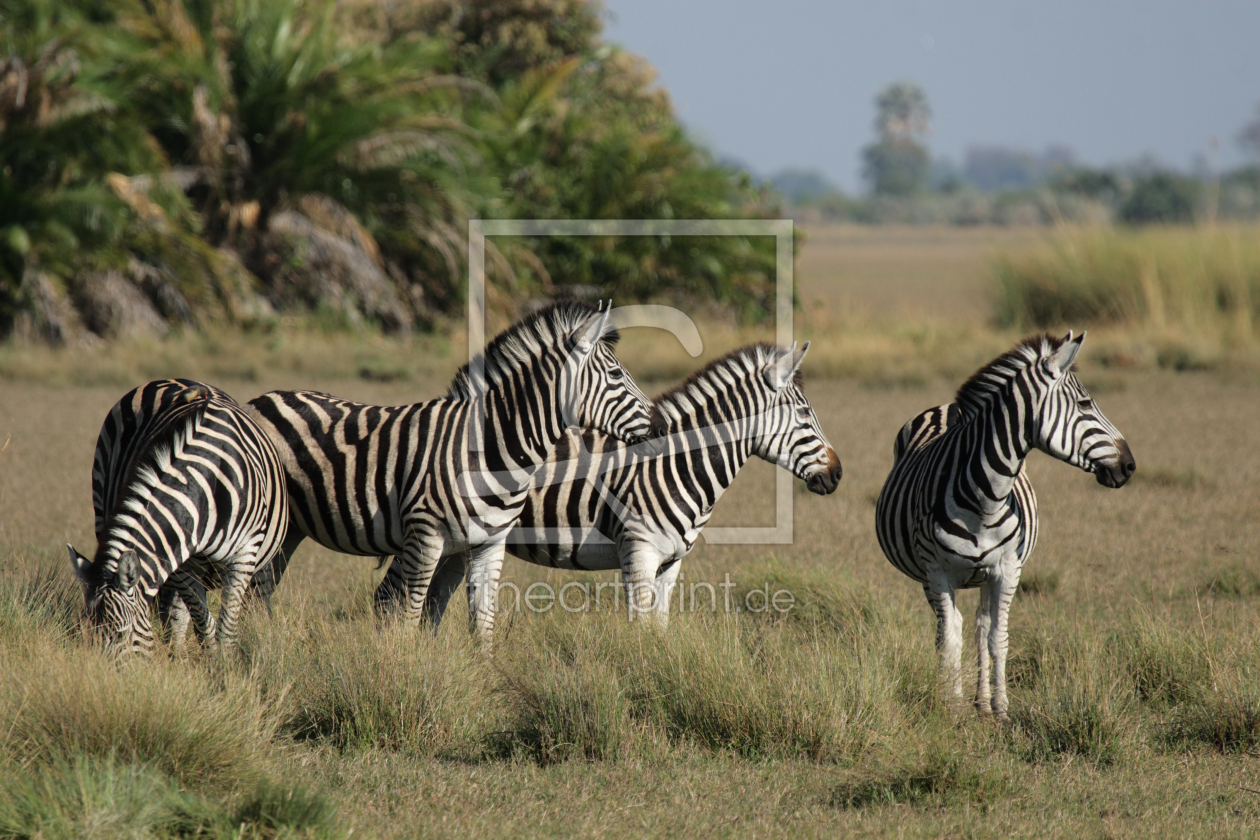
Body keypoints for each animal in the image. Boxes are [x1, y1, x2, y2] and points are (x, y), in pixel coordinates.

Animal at [68, 380, 289, 657]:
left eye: (121, 633)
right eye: (90, 635)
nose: (100, 669)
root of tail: (165, 380)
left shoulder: (245, 553)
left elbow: (227, 629)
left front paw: (225, 666)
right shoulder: (183, 561)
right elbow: (202, 622)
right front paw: (209, 661)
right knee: (177, 616)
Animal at [244, 301, 659, 642]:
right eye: (617, 375)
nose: (659, 430)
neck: (493, 450)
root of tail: (261, 398)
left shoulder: (489, 544)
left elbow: (484, 622)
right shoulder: (424, 539)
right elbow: (410, 616)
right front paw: (403, 676)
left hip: (292, 529)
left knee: (260, 590)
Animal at [402, 342, 843, 630]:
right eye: (804, 414)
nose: (838, 474)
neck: (676, 464)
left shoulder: (671, 563)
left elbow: (659, 629)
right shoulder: (639, 553)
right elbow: (640, 630)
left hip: (462, 544)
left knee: (432, 606)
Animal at [874, 331, 1135, 717]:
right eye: (1086, 404)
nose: (1129, 465)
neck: (985, 497)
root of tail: (946, 407)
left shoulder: (1007, 569)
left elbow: (998, 638)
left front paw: (1000, 707)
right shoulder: (936, 571)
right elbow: (949, 641)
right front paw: (950, 707)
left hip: (984, 575)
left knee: (980, 626)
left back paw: (981, 702)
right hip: (927, 575)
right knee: (949, 629)